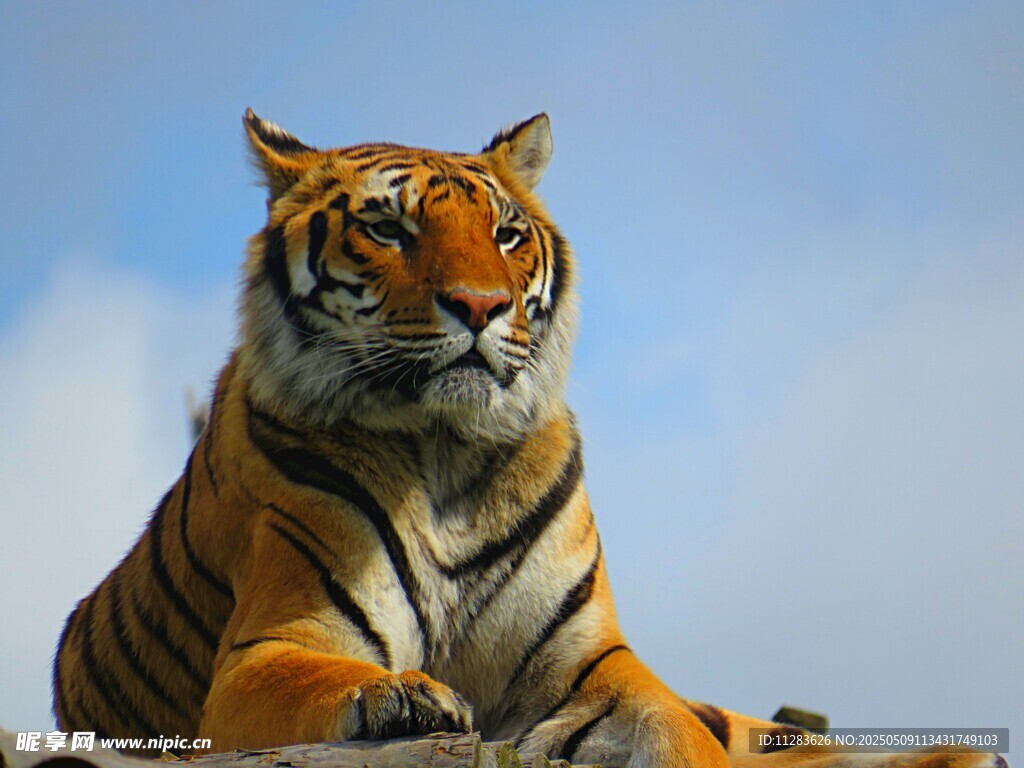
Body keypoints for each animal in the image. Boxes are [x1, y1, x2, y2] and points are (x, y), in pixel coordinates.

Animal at [51, 110, 1007, 768]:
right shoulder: (270, 647)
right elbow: (336, 678)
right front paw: (406, 700)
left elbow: (680, 730)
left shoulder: (591, 667)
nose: (481, 306)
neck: (444, 454)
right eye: (388, 228)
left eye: (507, 234)